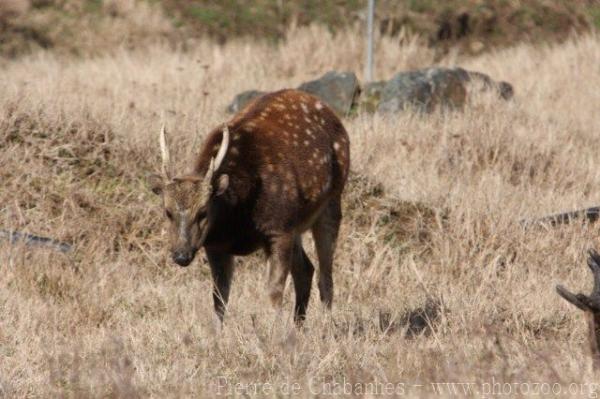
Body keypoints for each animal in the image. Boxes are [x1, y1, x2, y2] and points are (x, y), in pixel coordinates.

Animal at [147, 89, 350, 324]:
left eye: (203, 212)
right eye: (167, 212)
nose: (181, 255)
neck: (237, 219)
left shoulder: (280, 228)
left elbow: (274, 291)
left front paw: (276, 330)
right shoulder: (215, 244)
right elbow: (219, 297)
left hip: (332, 200)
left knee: (326, 277)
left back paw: (325, 325)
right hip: (297, 224)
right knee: (306, 270)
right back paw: (299, 325)